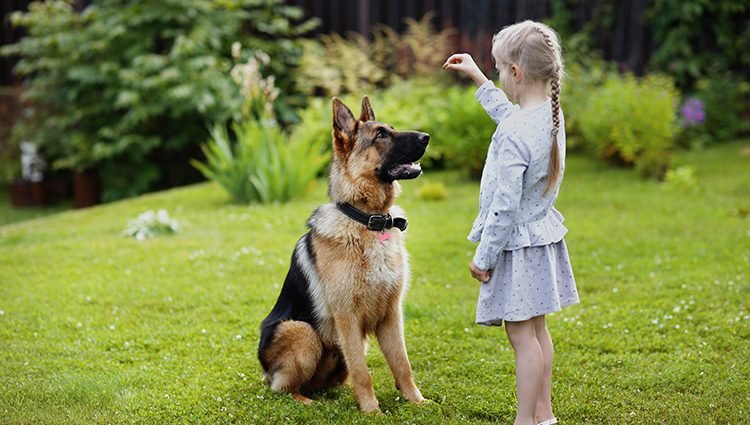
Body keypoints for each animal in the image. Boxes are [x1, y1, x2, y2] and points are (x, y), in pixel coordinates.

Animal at [260, 95, 428, 410]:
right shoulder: (346, 315)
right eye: (381, 135)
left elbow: (402, 363)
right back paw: (306, 401)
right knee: (283, 388)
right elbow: (363, 371)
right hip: (303, 332)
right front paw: (372, 411)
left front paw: (416, 400)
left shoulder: (392, 314)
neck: (370, 220)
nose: (427, 136)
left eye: (391, 128)